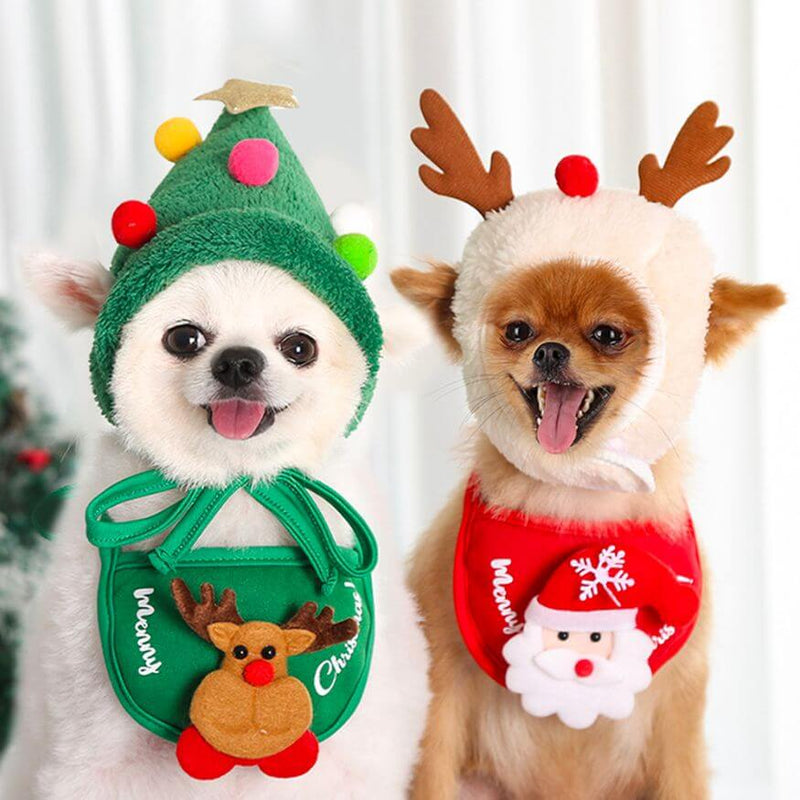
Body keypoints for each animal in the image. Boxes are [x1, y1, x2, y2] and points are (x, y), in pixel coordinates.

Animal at [390, 90, 784, 796]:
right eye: (518, 330)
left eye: (607, 335)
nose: (550, 350)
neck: (576, 501)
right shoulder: (442, 680)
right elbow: (428, 769)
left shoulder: (679, 701)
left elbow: (684, 772)